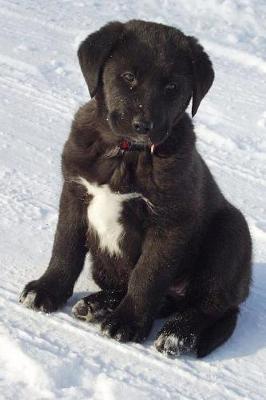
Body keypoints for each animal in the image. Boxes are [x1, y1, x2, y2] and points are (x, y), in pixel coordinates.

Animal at [20, 20, 251, 358]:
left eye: (172, 87)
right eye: (128, 77)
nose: (144, 125)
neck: (126, 153)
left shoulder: (169, 221)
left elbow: (147, 275)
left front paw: (126, 323)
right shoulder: (74, 194)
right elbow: (65, 247)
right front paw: (47, 289)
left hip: (231, 233)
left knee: (210, 305)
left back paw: (176, 334)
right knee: (151, 294)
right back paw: (97, 305)